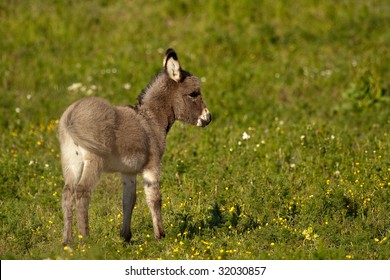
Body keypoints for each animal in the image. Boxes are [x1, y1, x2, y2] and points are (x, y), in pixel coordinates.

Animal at [60, 49, 210, 245]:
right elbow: (154, 198)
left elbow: (129, 200)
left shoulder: (129, 172)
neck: (151, 119)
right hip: (94, 160)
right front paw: (160, 236)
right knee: (82, 192)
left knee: (67, 194)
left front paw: (126, 236)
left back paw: (67, 242)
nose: (208, 118)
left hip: (71, 160)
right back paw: (85, 240)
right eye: (193, 94)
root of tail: (71, 115)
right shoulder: (153, 165)